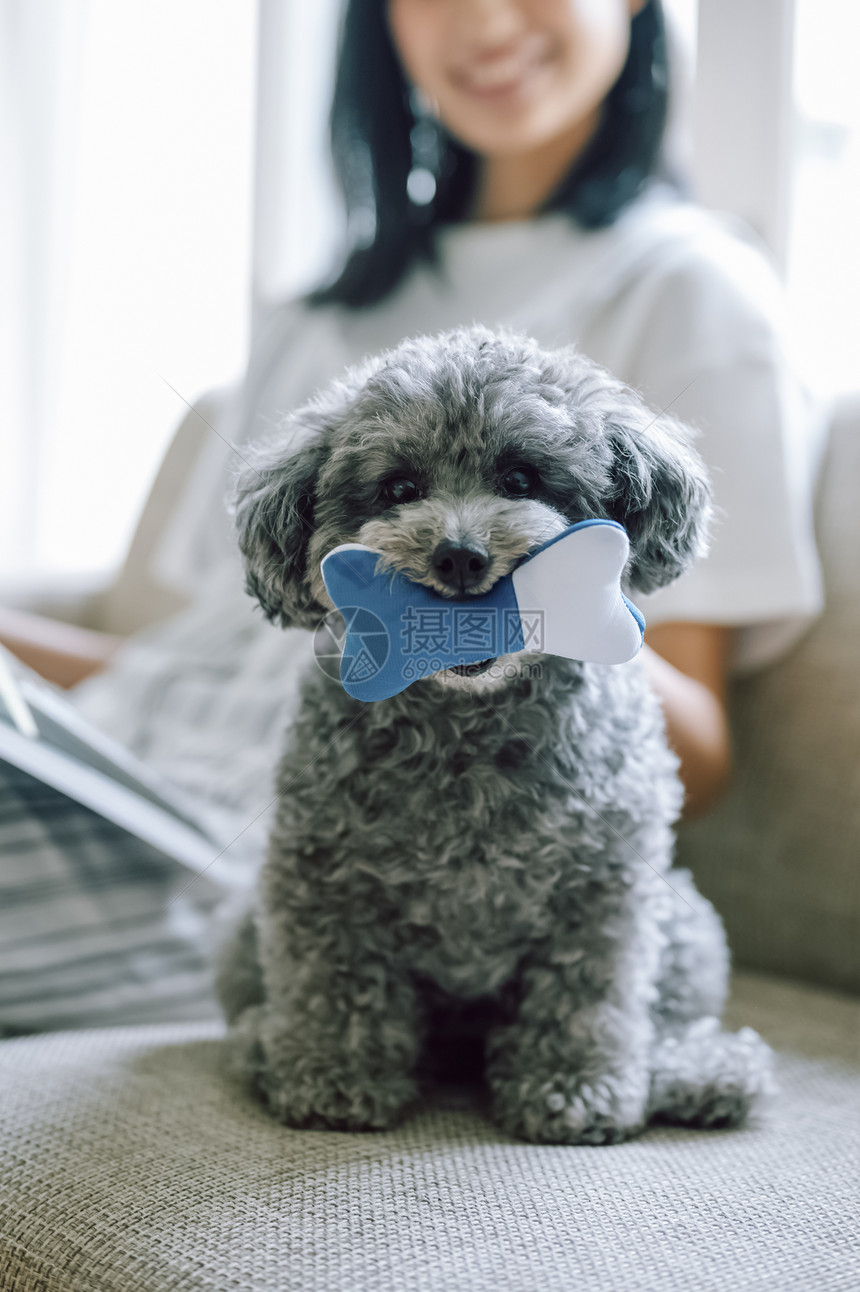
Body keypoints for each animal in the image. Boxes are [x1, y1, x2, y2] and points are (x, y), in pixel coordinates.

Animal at [213, 323, 769, 1142]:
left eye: (521, 477)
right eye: (399, 489)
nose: (460, 555)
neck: (468, 724)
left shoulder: (602, 888)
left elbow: (586, 999)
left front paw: (573, 1090)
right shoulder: (322, 880)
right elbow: (335, 987)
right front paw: (332, 1079)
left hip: (689, 924)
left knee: (667, 1019)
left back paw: (704, 1073)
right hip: (242, 933)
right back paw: (262, 1047)